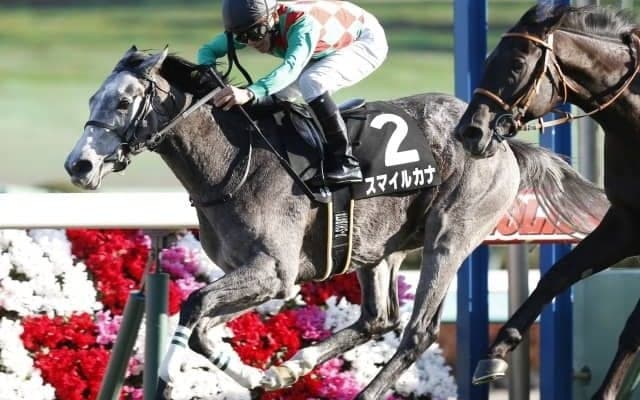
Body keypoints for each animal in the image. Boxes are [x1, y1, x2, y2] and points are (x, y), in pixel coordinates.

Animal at [64, 46, 608, 399]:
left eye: (123, 101)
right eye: (91, 98)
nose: (79, 165)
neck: (234, 164)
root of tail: (503, 140)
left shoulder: (273, 272)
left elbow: (195, 307)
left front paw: (173, 376)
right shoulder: (260, 276)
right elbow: (203, 328)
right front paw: (263, 376)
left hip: (449, 237)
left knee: (417, 332)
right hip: (379, 249)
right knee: (378, 319)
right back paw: (296, 367)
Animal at [454, 4, 640, 399]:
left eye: (517, 63)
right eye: (489, 59)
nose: (470, 131)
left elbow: (634, 327)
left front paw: (606, 392)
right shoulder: (625, 224)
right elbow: (556, 276)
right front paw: (494, 355)